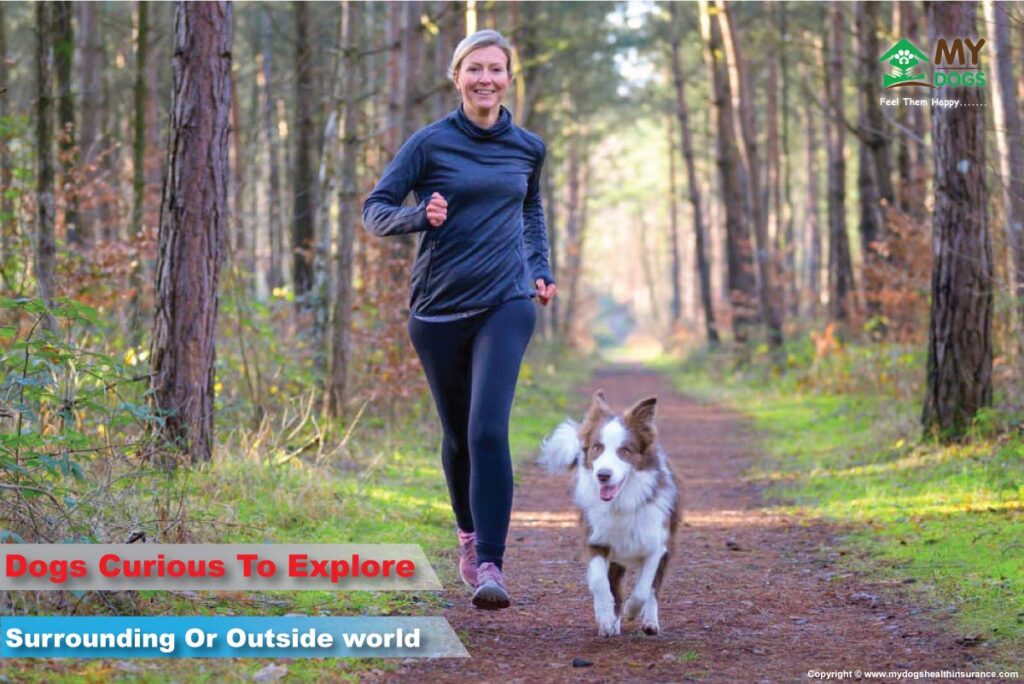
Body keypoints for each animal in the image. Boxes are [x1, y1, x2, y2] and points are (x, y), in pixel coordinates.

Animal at [540, 389, 675, 634]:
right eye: (597, 448)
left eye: (624, 451)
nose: (603, 475)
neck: (620, 503)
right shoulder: (597, 540)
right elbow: (600, 584)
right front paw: (605, 618)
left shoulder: (657, 544)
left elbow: (643, 588)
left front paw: (633, 611)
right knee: (616, 589)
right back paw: (614, 622)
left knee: (654, 588)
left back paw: (650, 622)